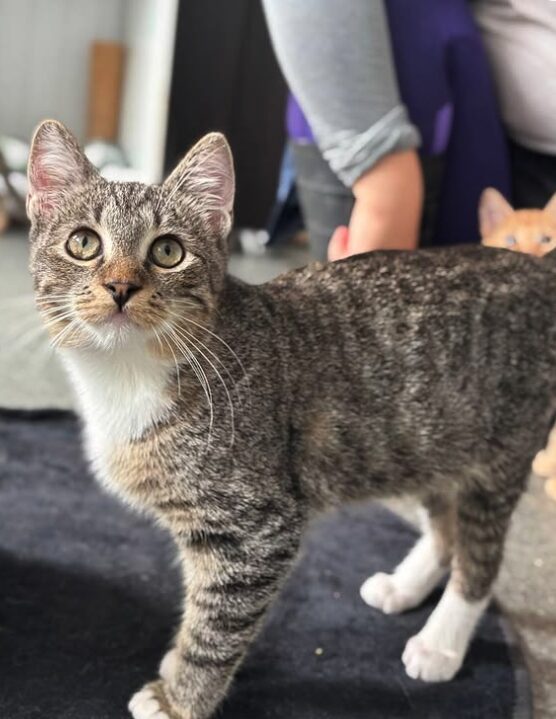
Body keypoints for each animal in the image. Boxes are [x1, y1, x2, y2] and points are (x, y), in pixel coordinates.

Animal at [29, 119, 556, 719]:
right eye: (83, 243)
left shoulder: (257, 527)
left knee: (480, 556)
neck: (129, 376)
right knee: (446, 527)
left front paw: (180, 697)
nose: (120, 286)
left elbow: (216, 627)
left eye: (167, 251)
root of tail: (535, 269)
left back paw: (441, 641)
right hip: (428, 438)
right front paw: (175, 668)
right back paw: (406, 585)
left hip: (500, 455)